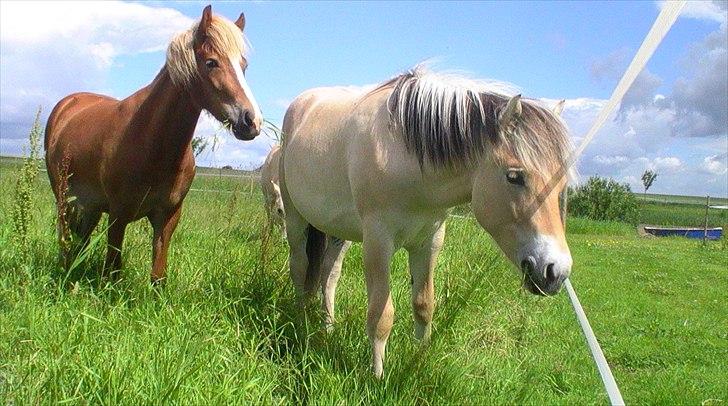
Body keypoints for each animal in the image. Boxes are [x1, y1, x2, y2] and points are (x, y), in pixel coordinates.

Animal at [42, 5, 258, 282]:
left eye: (244, 65)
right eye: (211, 62)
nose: (252, 121)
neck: (152, 141)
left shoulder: (167, 218)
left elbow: (158, 275)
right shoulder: (118, 215)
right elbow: (113, 270)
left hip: (89, 207)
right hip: (65, 200)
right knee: (66, 240)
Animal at [282, 66, 572, 378]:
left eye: (561, 185)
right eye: (514, 176)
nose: (556, 272)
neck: (403, 155)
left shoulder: (429, 242)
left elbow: (423, 305)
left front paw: (418, 361)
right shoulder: (378, 241)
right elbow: (381, 315)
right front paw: (377, 377)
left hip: (339, 231)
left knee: (328, 274)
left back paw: (328, 328)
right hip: (295, 218)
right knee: (299, 266)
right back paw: (299, 319)